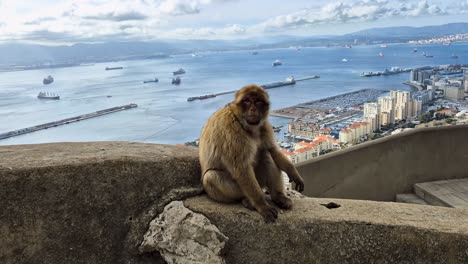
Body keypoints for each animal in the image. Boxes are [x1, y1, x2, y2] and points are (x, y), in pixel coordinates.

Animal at [199, 85, 306, 223]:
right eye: (247, 101)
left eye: (258, 102)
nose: (253, 108)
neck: (246, 125)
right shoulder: (231, 129)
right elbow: (241, 167)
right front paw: (262, 206)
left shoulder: (264, 125)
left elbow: (272, 150)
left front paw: (293, 172)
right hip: (227, 191)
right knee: (211, 176)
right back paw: (248, 201)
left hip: (259, 182)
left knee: (266, 154)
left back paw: (278, 196)